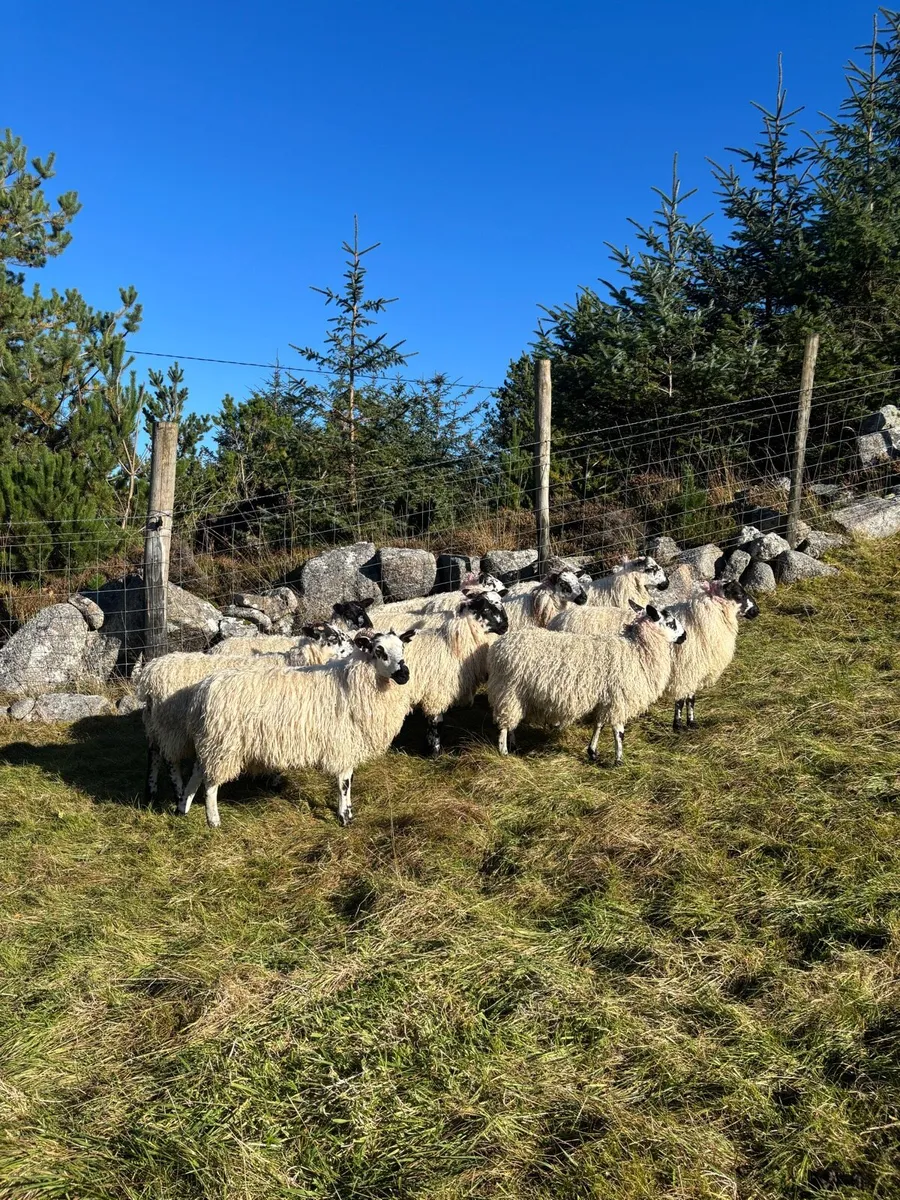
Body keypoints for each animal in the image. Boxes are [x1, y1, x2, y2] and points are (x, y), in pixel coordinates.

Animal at [177, 629, 418, 828]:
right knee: (210, 784)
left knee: (198, 771)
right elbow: (344, 783)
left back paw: (183, 807)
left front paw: (348, 813)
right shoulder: (342, 744)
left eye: (403, 647)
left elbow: (348, 781)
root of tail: (201, 691)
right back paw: (213, 821)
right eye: (379, 650)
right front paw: (344, 817)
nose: (404, 674)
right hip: (222, 745)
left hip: (209, 742)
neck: (350, 683)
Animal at [402, 588, 509, 755]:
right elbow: (436, 723)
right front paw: (435, 752)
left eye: (502, 604)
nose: (505, 626)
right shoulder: (436, 692)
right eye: (485, 609)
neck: (452, 645)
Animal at [486, 603, 686, 766]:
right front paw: (618, 760)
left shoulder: (606, 699)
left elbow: (599, 724)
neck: (637, 649)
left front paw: (592, 752)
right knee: (504, 724)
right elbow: (618, 731)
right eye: (671, 623)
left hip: (514, 694)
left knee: (511, 721)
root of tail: (499, 645)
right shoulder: (618, 699)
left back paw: (513, 745)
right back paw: (504, 751)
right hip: (508, 689)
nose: (684, 636)